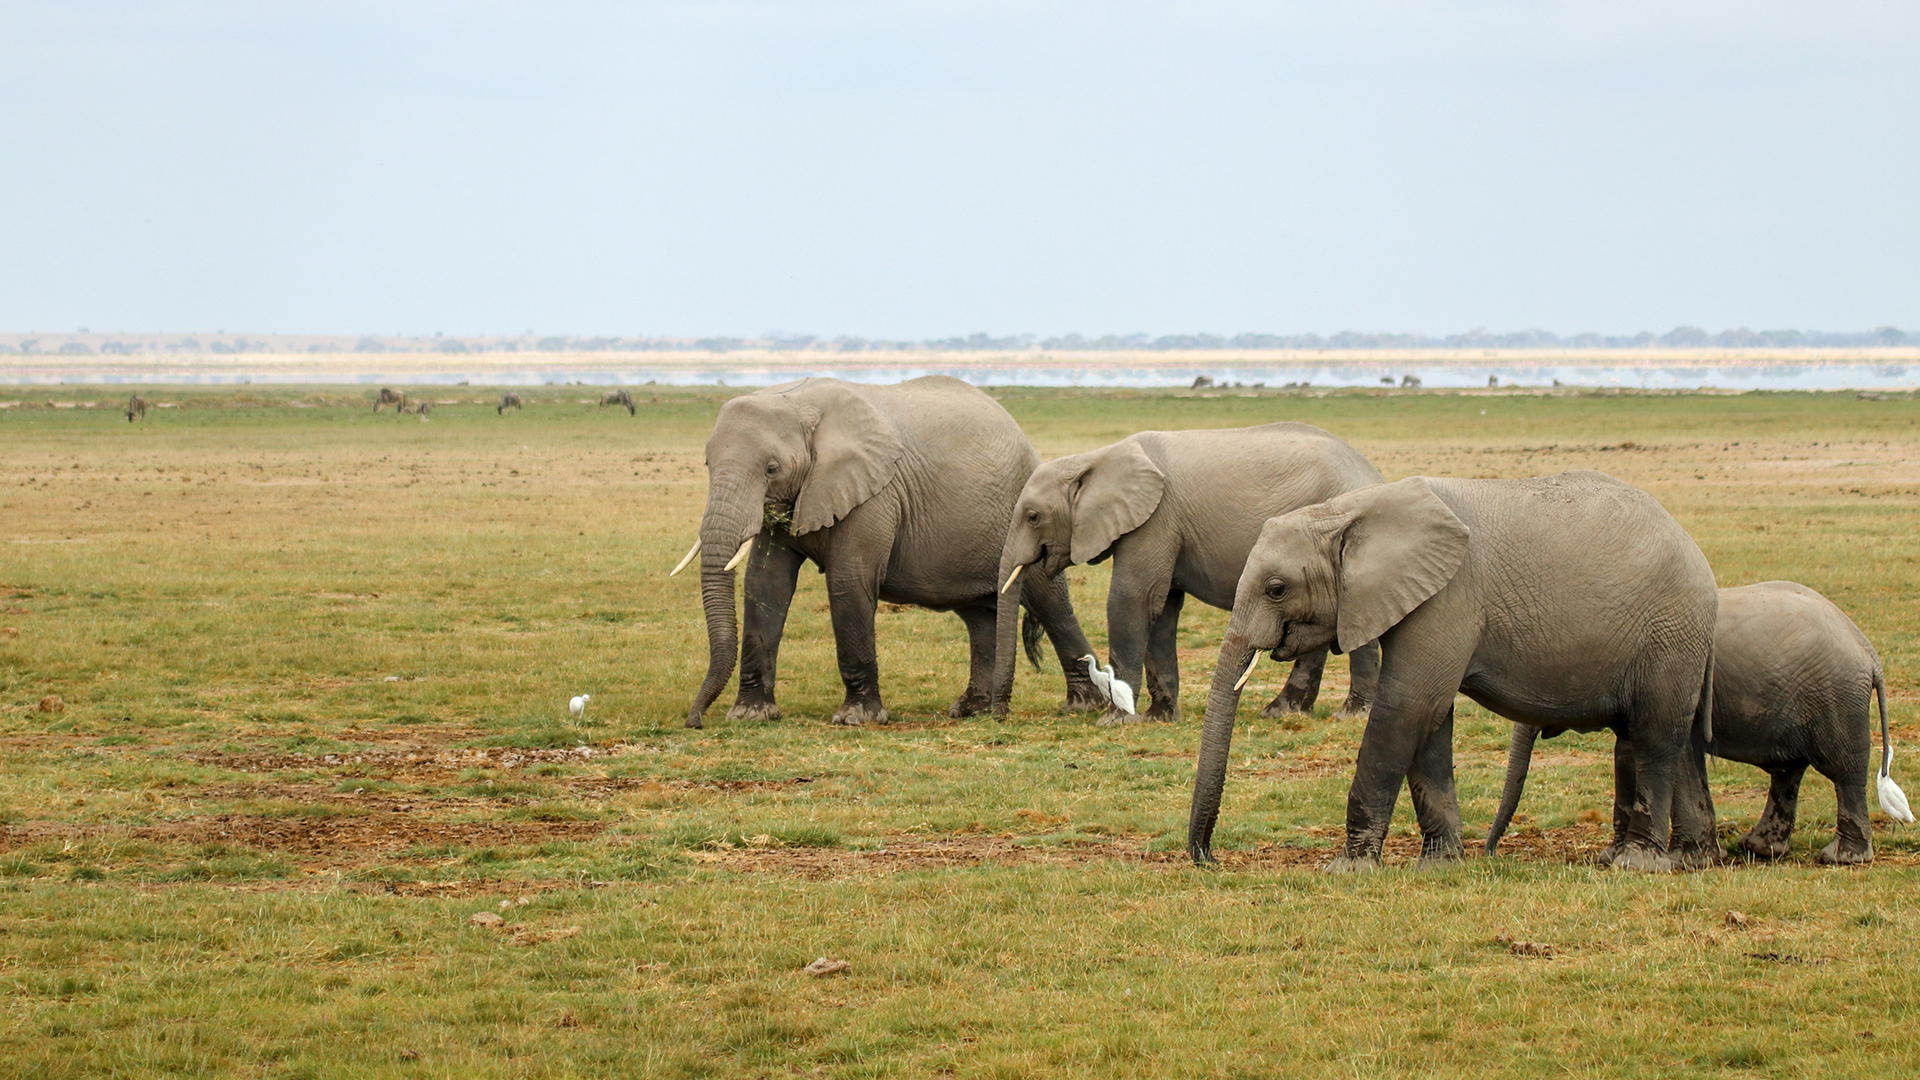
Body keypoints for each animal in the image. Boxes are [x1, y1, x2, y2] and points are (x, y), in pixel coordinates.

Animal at [683, 374, 1105, 726]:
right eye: (707, 464)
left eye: (771, 469)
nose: (694, 721)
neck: (795, 400)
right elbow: (765, 586)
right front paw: (750, 716)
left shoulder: (875, 494)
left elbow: (848, 582)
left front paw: (856, 720)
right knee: (980, 615)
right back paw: (972, 710)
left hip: (1027, 519)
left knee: (1050, 603)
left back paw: (1082, 707)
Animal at [990, 422, 1382, 722]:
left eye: (1033, 517)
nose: (999, 714)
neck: (1095, 458)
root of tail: (1374, 474)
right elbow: (1162, 609)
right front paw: (1159, 718)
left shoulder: (1156, 520)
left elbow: (1133, 599)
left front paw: (1115, 719)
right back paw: (1283, 711)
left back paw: (1349, 714)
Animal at [1182, 466, 1728, 868]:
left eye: (1276, 589)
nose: (1210, 859)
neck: (1352, 510)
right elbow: (1431, 722)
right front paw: (1439, 865)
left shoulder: (1448, 597)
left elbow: (1407, 708)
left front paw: (1348, 869)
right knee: (1667, 740)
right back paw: (1686, 860)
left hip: (1671, 630)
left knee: (1654, 736)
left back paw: (1635, 863)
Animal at [1489, 576, 1912, 860]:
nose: (1490, 852)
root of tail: (1868, 650)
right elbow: (1628, 755)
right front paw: (1614, 859)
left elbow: (1674, 756)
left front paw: (1686, 860)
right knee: (1789, 772)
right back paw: (1758, 849)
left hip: (1837, 698)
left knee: (1843, 771)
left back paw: (1840, 858)